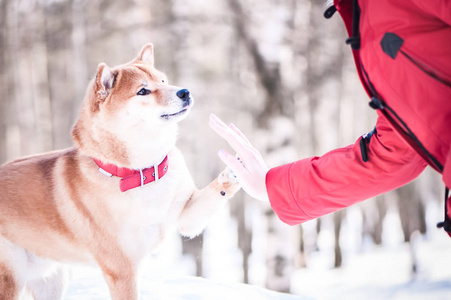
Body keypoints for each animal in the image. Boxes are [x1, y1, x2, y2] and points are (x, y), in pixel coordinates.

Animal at [0, 43, 240, 298]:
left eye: (163, 80)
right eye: (143, 91)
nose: (184, 92)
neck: (143, 172)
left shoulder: (187, 218)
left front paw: (237, 168)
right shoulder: (122, 269)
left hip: (52, 281)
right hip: (11, 277)